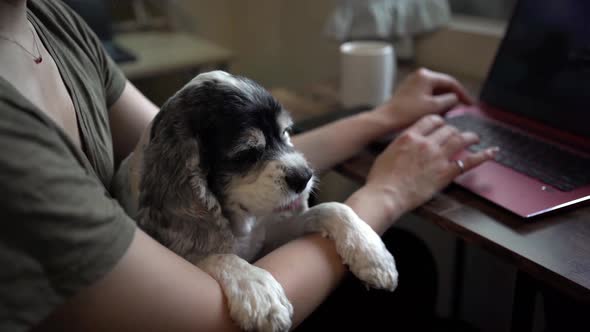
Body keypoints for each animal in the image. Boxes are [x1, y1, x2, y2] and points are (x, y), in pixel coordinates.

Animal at [113, 70, 400, 332]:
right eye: (247, 153)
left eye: (286, 132)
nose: (304, 176)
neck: (239, 225)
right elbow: (212, 256)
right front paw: (259, 292)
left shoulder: (271, 233)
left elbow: (333, 208)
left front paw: (373, 255)